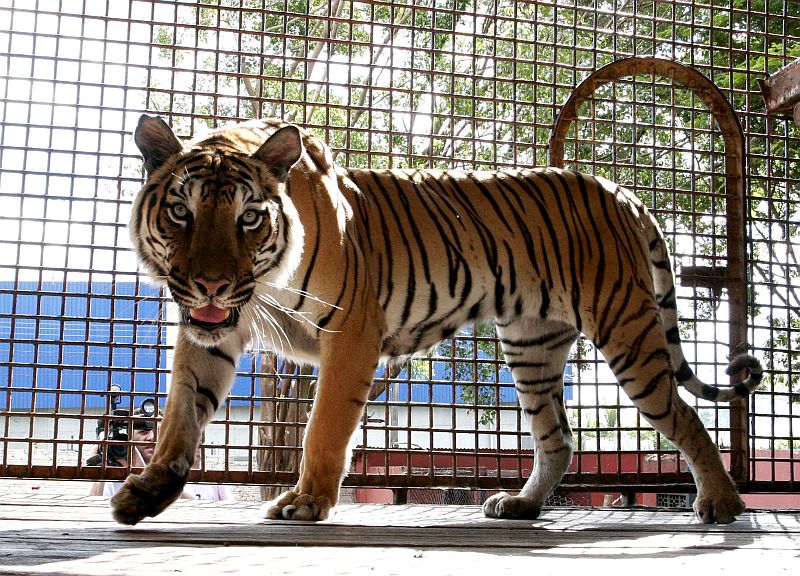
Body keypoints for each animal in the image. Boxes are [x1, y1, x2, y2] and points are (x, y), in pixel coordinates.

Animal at [112, 114, 763, 526]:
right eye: (180, 212)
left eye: (248, 218)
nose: (211, 283)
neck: (257, 288)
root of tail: (619, 190)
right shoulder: (209, 335)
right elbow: (179, 415)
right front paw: (146, 491)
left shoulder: (351, 333)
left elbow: (323, 428)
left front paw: (307, 502)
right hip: (532, 346)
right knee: (557, 438)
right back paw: (521, 505)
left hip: (626, 332)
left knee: (684, 417)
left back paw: (722, 504)